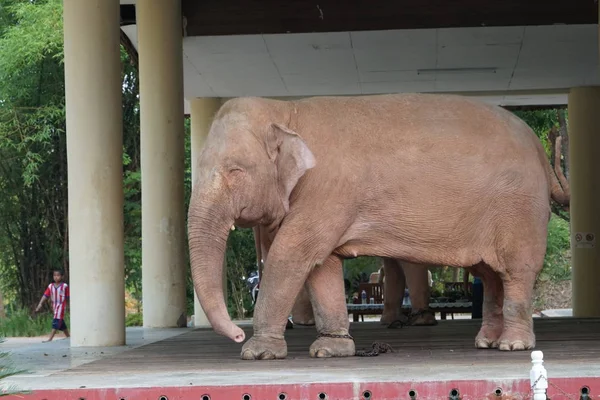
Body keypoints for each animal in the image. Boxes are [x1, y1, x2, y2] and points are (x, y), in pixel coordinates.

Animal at [188, 93, 568, 360]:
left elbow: (292, 252)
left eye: (235, 170)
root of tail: (538, 147)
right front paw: (331, 350)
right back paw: (487, 342)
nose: (237, 333)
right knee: (489, 274)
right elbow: (323, 265)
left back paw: (512, 345)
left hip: (519, 211)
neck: (285, 111)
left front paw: (257, 352)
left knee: (515, 271)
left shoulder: (328, 189)